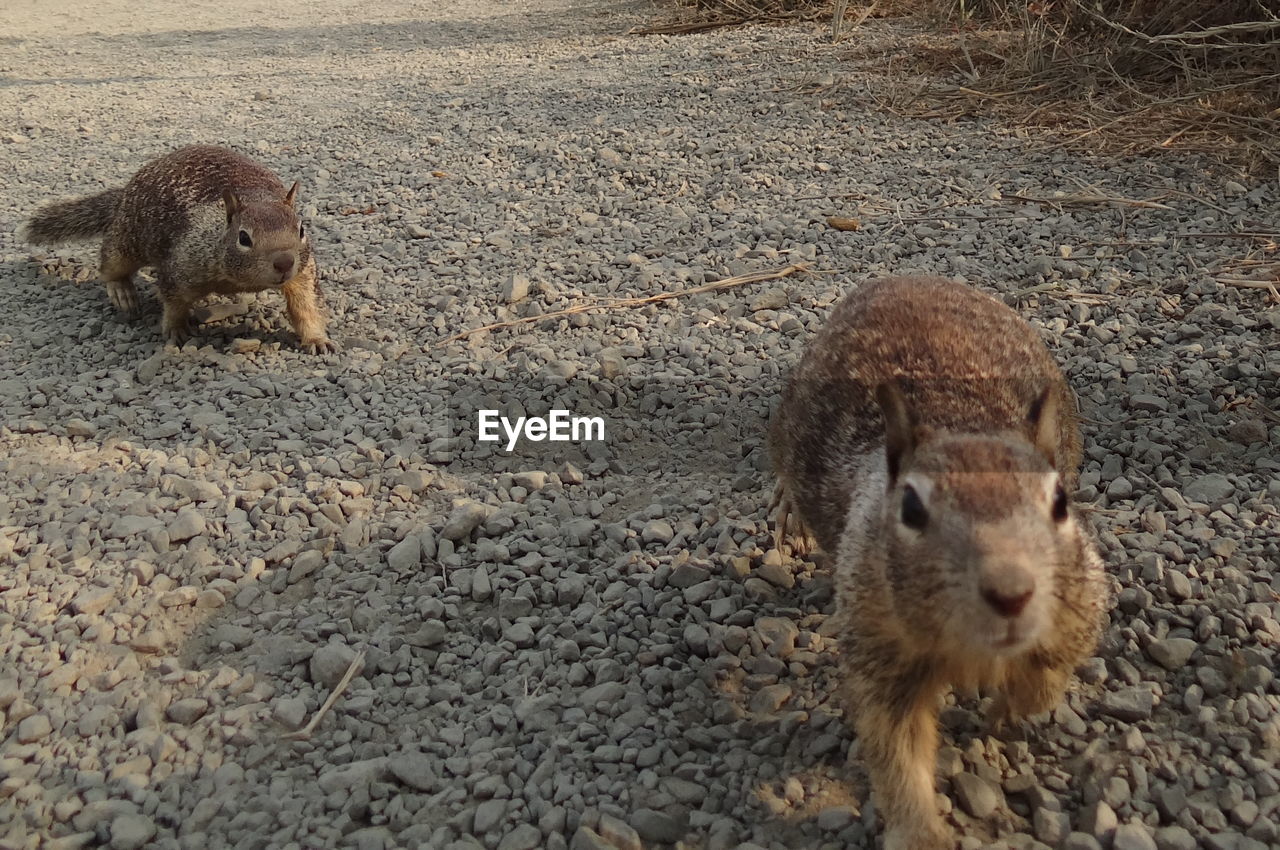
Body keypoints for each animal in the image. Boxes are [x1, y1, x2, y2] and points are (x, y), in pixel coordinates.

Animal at [26, 144, 335, 350]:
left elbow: (306, 304)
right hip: (127, 236)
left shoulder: (303, 271)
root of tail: (124, 194)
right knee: (110, 262)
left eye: (301, 230)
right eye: (244, 238)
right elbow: (173, 301)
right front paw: (175, 330)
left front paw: (317, 339)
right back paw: (122, 291)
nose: (284, 263)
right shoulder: (181, 264)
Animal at [768, 275, 1111, 844]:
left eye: (1060, 501)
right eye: (910, 508)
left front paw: (1003, 712)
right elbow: (897, 751)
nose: (1011, 593)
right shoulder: (880, 645)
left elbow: (1046, 680)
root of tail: (901, 278)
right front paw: (921, 834)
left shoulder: (1078, 604)